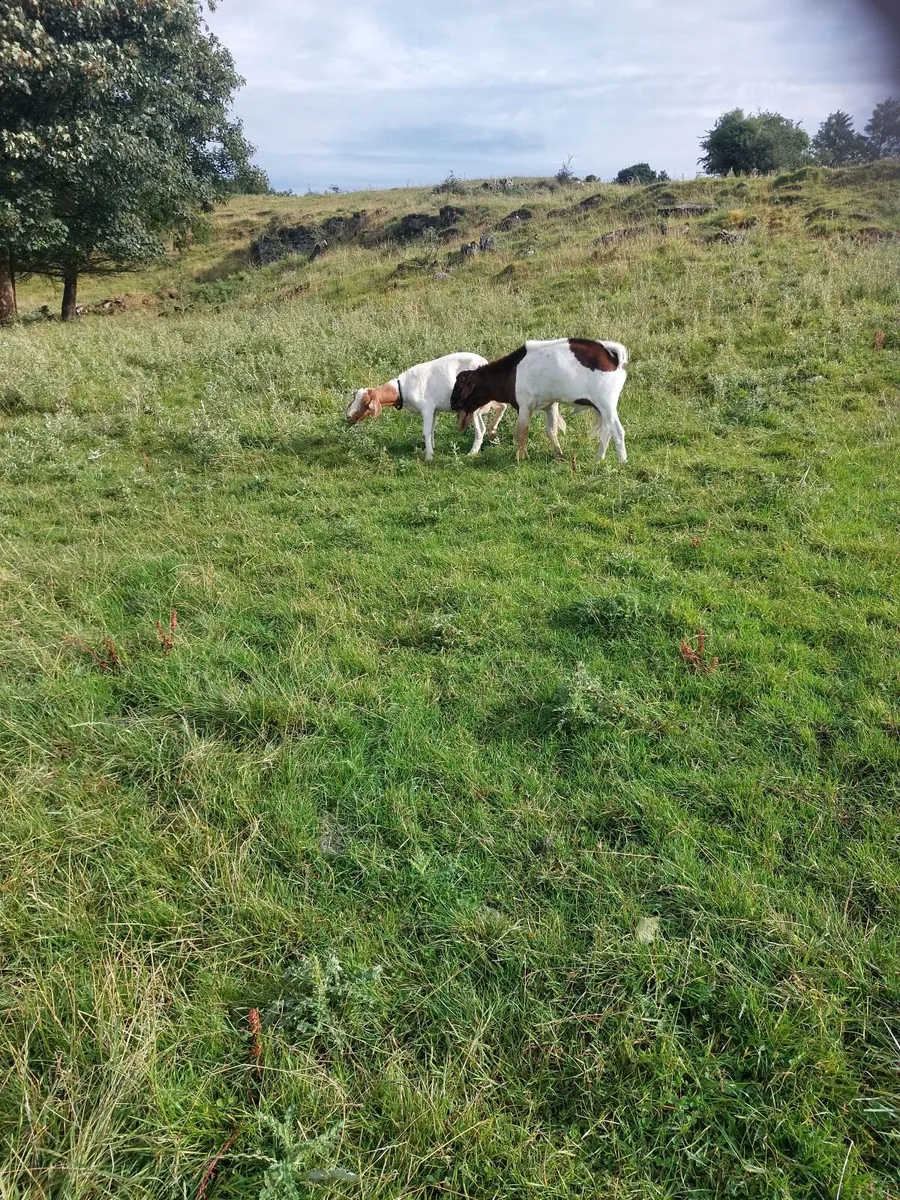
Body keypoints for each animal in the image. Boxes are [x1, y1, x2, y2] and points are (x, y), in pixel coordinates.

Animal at [347, 352, 505, 461]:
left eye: (365, 403)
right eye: (355, 397)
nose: (348, 416)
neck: (402, 389)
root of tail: (484, 363)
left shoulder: (427, 408)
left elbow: (426, 431)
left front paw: (429, 456)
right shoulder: (434, 410)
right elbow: (432, 429)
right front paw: (432, 447)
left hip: (474, 405)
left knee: (480, 428)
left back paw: (472, 453)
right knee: (502, 406)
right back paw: (493, 431)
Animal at [451, 337, 628, 463]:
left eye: (460, 385)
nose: (452, 404)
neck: (511, 372)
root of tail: (611, 357)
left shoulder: (524, 406)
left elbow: (522, 432)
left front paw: (520, 457)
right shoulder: (550, 405)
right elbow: (551, 431)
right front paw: (559, 455)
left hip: (606, 403)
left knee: (617, 431)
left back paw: (622, 461)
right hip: (601, 408)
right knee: (606, 431)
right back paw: (599, 458)